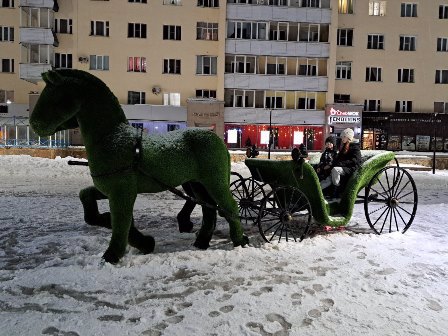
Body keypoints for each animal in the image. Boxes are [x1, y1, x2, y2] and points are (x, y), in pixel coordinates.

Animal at [30, 69, 248, 262]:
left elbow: (121, 222)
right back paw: (201, 241)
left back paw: (239, 240)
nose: (34, 124)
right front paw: (142, 240)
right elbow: (88, 201)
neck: (112, 138)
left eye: (53, 97)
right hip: (198, 184)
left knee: (230, 206)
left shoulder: (122, 192)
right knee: (209, 210)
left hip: (214, 181)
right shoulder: (110, 189)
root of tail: (216, 139)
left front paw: (112, 255)